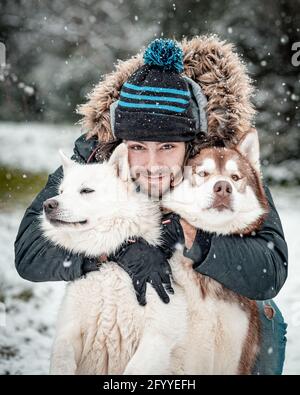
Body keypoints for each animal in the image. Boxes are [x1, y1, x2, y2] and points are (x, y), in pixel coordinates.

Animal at [39, 129, 268, 374]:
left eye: (86, 190)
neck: (110, 263)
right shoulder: (68, 333)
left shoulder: (158, 335)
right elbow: (61, 360)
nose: (48, 205)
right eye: (61, 191)